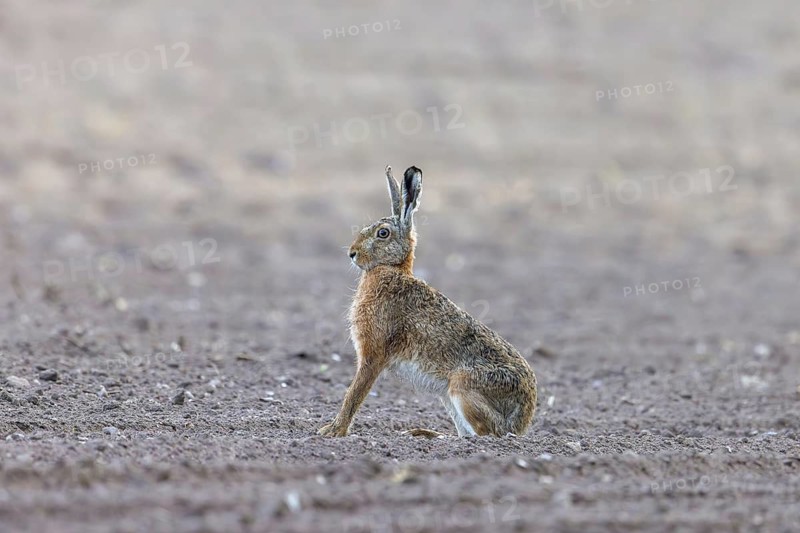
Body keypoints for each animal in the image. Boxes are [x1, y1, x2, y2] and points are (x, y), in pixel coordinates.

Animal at [318, 165, 537, 438]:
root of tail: (522, 422)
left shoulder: (373, 354)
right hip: (448, 397)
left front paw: (333, 431)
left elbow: (354, 394)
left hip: (462, 388)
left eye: (382, 233)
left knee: (487, 434)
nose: (352, 253)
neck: (393, 270)